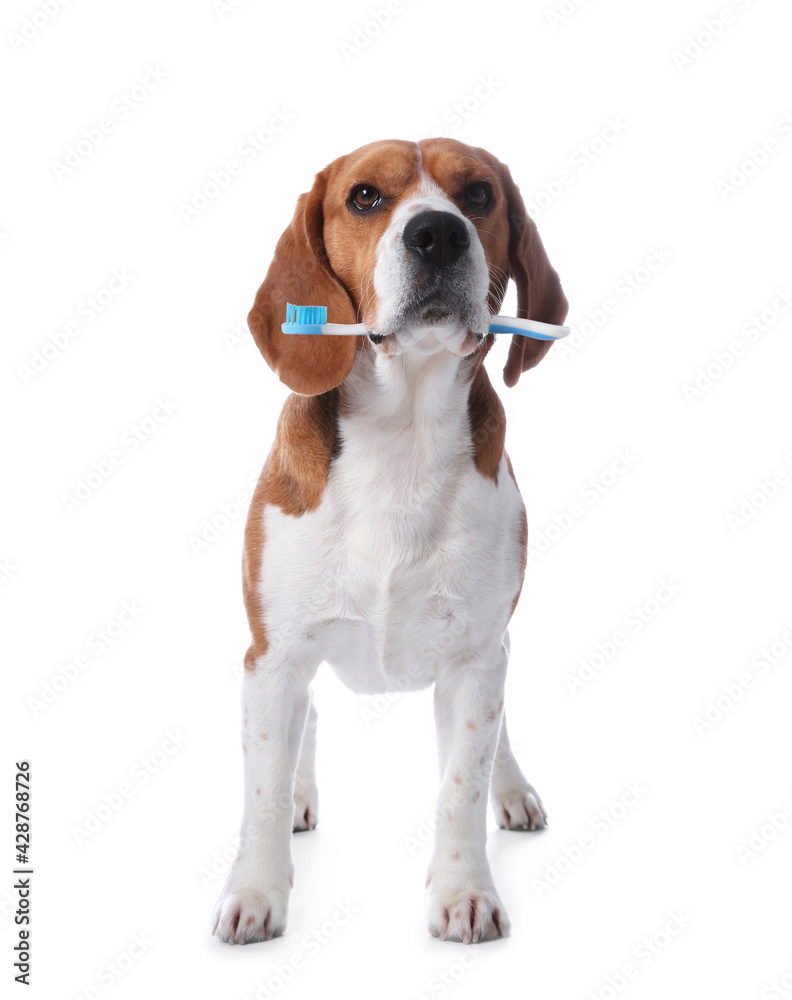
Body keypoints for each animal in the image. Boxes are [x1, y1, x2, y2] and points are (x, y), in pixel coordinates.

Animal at [213, 137, 568, 940]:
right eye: (365, 197)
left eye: (479, 194)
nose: (436, 233)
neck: (403, 437)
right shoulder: (271, 657)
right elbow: (260, 791)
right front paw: (255, 892)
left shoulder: (476, 657)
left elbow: (462, 784)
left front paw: (464, 892)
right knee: (302, 730)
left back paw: (512, 788)